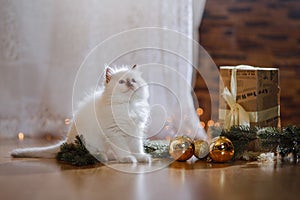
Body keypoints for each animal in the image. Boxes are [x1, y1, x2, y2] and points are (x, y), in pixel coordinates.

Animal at [11, 65, 152, 163]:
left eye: (133, 80)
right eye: (121, 82)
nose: (129, 83)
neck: (128, 106)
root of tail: (67, 141)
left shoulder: (136, 131)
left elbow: (137, 147)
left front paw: (141, 157)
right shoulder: (114, 132)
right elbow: (122, 148)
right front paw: (128, 158)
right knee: (92, 153)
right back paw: (104, 157)